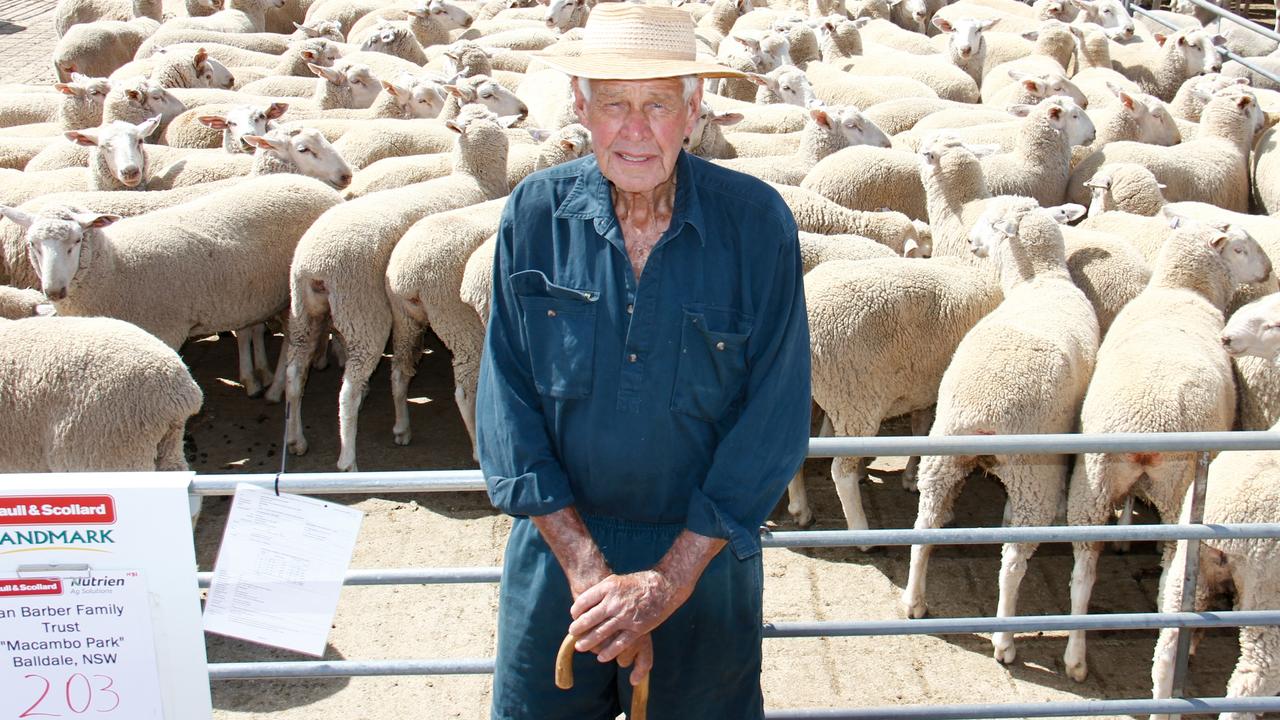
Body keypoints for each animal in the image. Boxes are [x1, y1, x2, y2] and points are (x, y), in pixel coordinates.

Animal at [901, 194, 1100, 661]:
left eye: (992, 223)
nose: (971, 242)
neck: (1041, 280)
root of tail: (984, 413)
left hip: (941, 454)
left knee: (924, 526)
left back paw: (914, 602)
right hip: (1032, 473)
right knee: (1012, 560)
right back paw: (1004, 638)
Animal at [1054, 217, 1274, 676]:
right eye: (1241, 248)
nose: (1267, 272)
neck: (1181, 289)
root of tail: (1143, 428)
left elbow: (1129, 501)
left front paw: (1124, 531)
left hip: (1093, 482)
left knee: (1083, 573)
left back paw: (1076, 657)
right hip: (1178, 490)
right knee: (1173, 567)